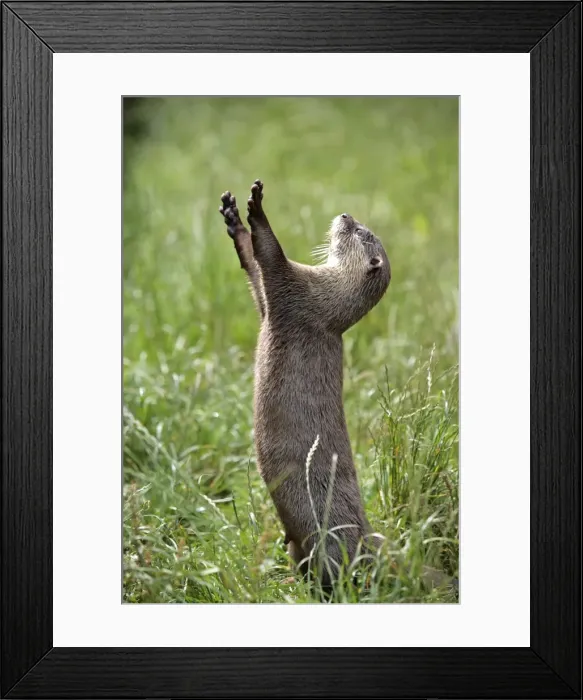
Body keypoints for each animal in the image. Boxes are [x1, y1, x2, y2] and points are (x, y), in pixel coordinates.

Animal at [219, 180, 391, 589]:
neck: (329, 299)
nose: (345, 214)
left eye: (360, 232)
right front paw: (234, 221)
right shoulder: (276, 302)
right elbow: (255, 272)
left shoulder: (296, 290)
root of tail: (367, 539)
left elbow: (271, 256)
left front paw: (257, 208)